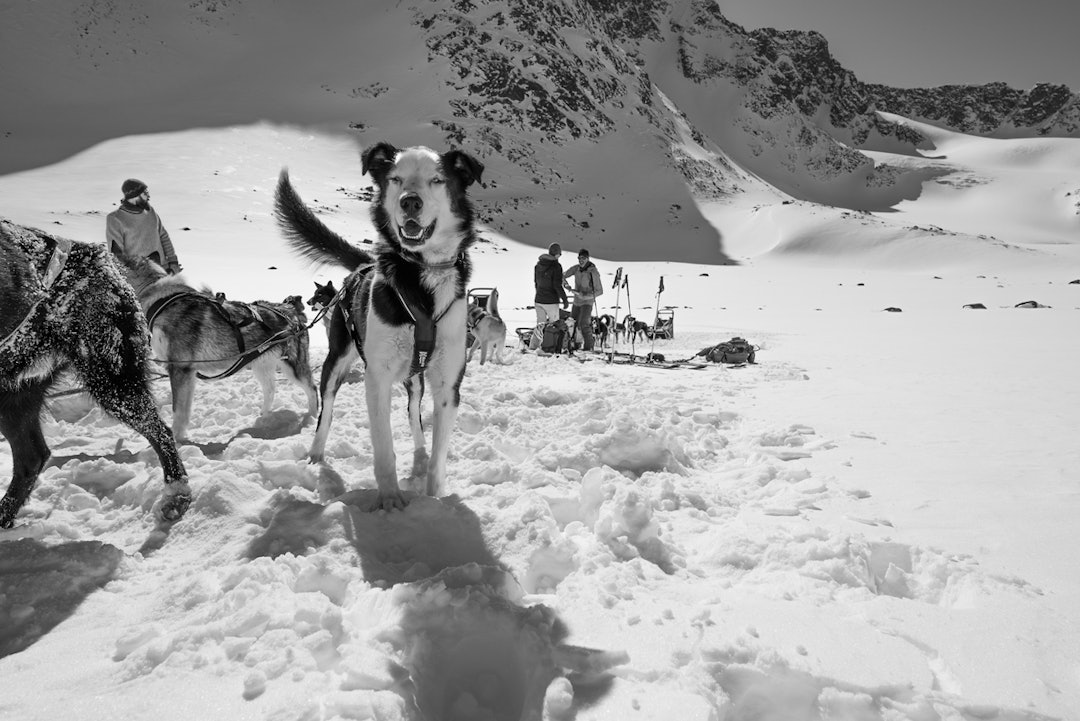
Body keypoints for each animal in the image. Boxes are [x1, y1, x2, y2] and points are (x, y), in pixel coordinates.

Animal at [0, 216, 192, 526]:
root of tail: (104, 259)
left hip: (110, 377)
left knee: (160, 431)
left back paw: (176, 494)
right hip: (14, 393)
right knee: (32, 456)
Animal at [120, 255, 319, 442]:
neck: (161, 300)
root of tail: (291, 309)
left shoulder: (179, 368)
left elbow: (178, 410)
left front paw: (176, 439)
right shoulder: (187, 372)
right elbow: (184, 409)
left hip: (293, 367)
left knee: (312, 389)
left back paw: (312, 417)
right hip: (261, 365)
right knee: (270, 389)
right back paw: (264, 418)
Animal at [276, 142, 483, 511]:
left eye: (437, 180)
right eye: (395, 179)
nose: (410, 201)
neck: (421, 279)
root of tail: (363, 266)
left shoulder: (448, 385)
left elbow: (438, 456)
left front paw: (434, 500)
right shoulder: (377, 378)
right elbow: (384, 446)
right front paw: (390, 500)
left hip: (416, 381)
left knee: (414, 415)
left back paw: (419, 453)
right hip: (336, 362)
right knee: (325, 412)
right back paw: (315, 454)